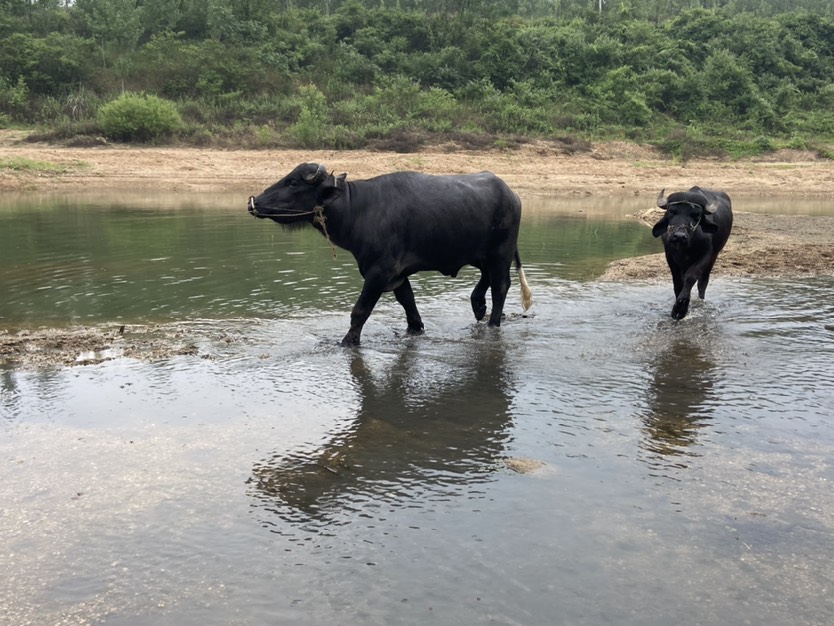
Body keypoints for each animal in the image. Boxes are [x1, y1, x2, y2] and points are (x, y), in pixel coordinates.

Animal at [249, 163, 532, 344]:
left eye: (292, 182)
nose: (254, 202)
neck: (358, 210)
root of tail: (513, 195)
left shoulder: (378, 273)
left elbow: (360, 311)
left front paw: (348, 341)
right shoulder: (398, 275)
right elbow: (409, 305)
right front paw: (415, 329)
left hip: (501, 252)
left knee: (501, 285)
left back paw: (492, 321)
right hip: (482, 255)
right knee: (487, 279)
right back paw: (478, 305)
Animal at [648, 184, 732, 320]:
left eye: (696, 215)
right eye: (671, 212)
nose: (679, 236)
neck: (686, 246)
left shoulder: (706, 255)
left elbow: (691, 277)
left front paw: (681, 308)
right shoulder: (670, 256)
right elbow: (678, 283)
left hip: (714, 257)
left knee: (703, 282)